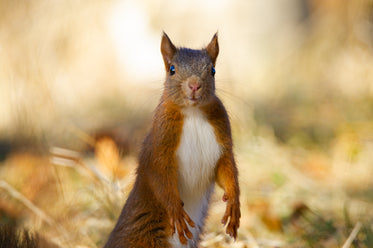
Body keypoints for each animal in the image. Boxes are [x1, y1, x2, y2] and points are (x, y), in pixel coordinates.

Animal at [103, 32, 240, 247]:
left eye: (213, 70)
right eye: (172, 70)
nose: (194, 85)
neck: (193, 113)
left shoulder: (222, 143)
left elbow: (227, 170)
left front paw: (234, 204)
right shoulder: (159, 146)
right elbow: (159, 178)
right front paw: (176, 210)